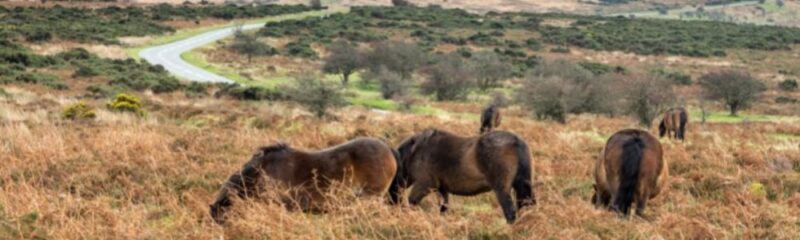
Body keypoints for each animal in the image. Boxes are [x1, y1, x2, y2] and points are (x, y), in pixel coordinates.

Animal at [390, 129, 536, 223]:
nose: (392, 206)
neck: (416, 151)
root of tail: (516, 141)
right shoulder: (442, 189)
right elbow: (443, 208)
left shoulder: (424, 185)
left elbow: (411, 202)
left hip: (502, 189)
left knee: (510, 212)